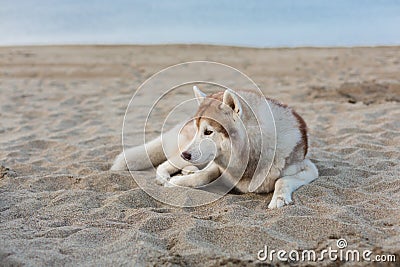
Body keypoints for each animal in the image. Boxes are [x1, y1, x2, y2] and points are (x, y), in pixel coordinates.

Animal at [111, 86, 318, 209]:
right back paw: (173, 174)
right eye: (198, 130)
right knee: (165, 164)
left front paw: (279, 198)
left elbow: (282, 180)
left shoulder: (310, 169)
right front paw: (178, 182)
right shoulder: (216, 166)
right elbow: (203, 176)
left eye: (208, 132)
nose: (186, 155)